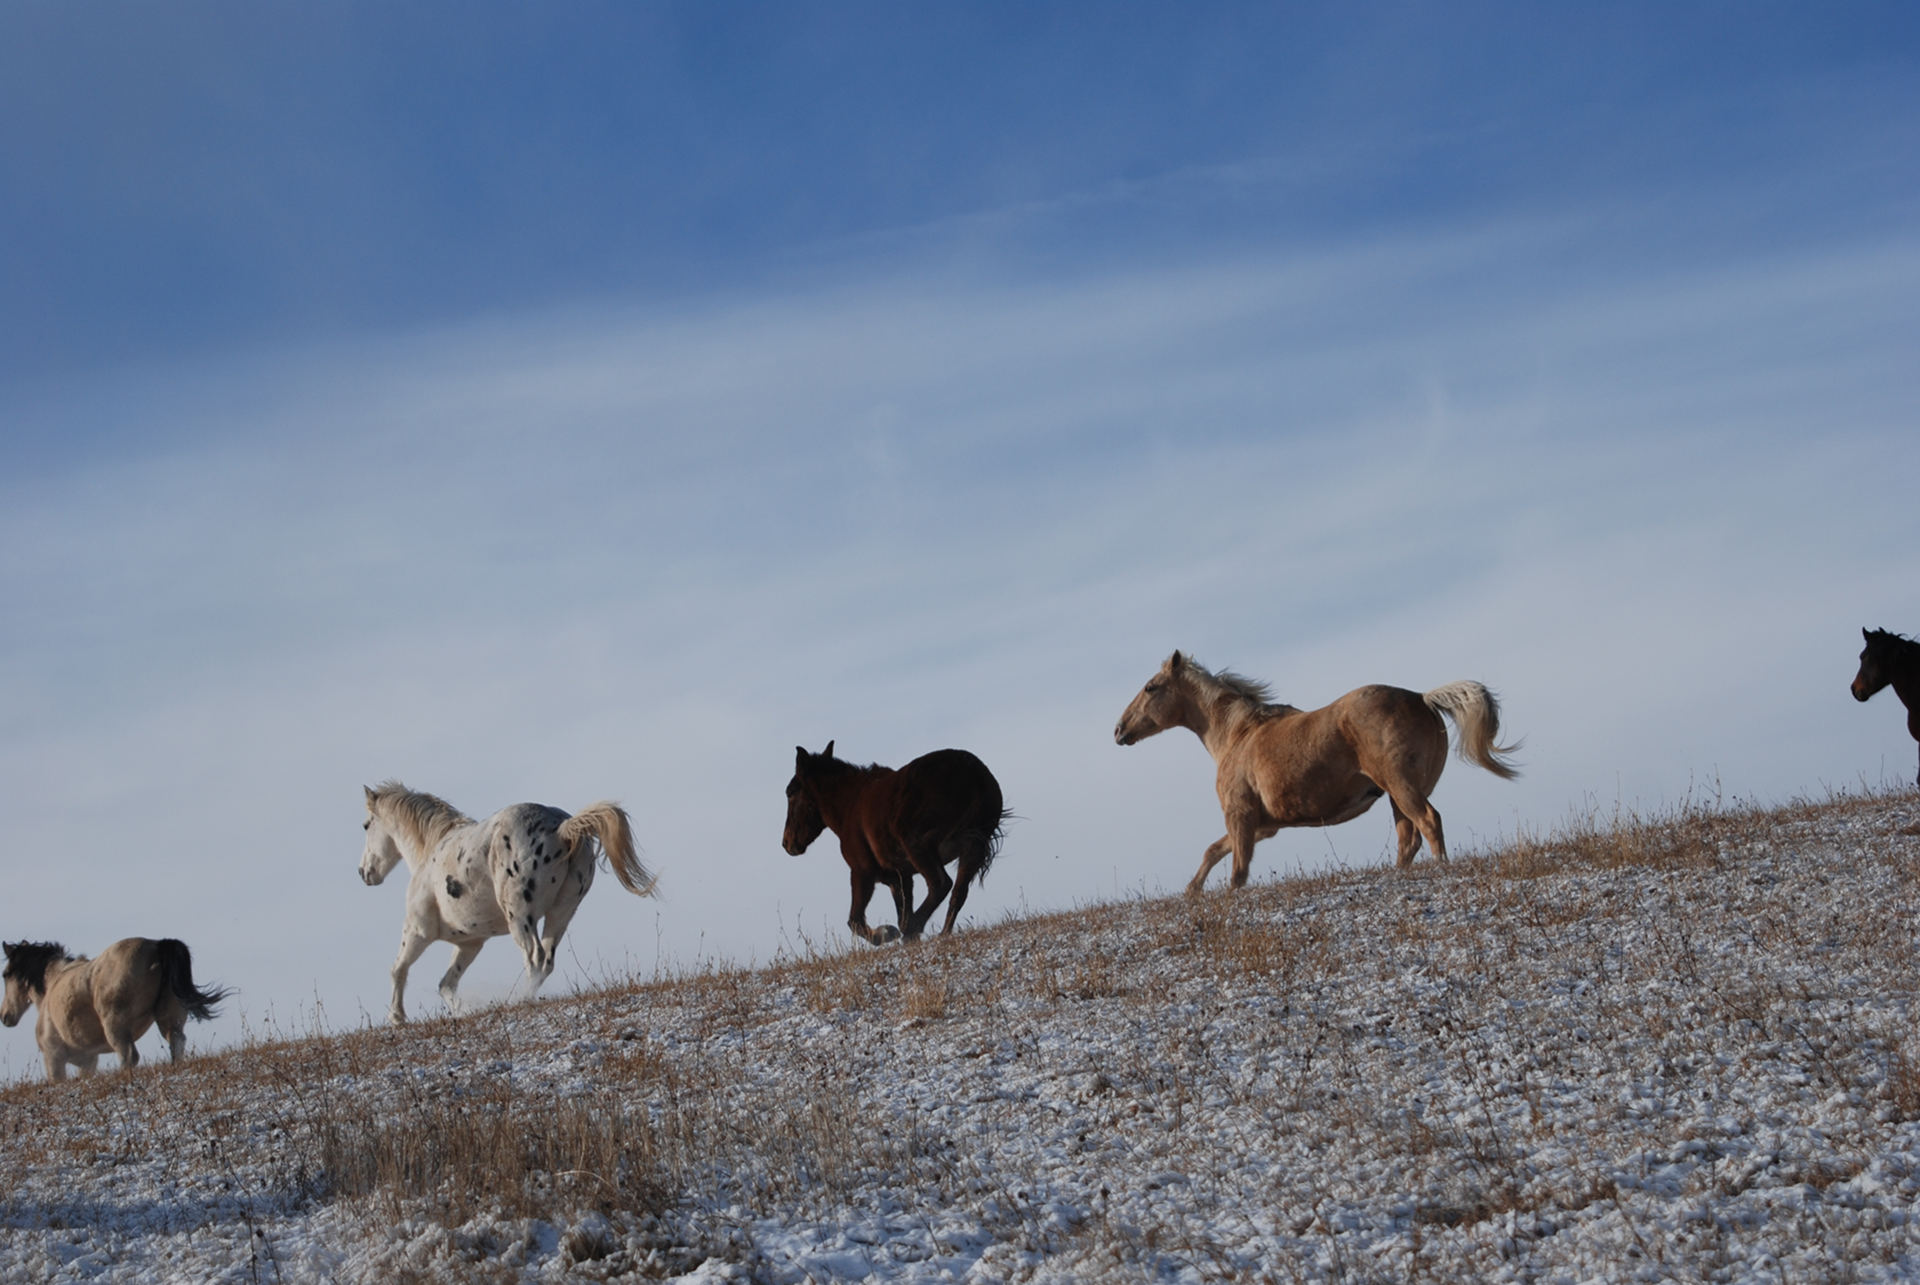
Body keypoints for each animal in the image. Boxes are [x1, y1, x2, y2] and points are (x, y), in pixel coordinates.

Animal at [2, 938, 229, 1080]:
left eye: (5, 974)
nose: (5, 1016)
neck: (53, 984)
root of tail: (156, 945)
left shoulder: (54, 1057)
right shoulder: (88, 1061)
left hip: (116, 1027)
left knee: (128, 1056)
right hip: (170, 1018)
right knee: (177, 1043)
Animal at [358, 782, 657, 1023]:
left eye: (366, 826)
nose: (364, 873)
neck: (431, 853)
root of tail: (562, 830)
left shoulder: (417, 931)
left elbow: (398, 969)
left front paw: (397, 1018)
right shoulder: (470, 943)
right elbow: (447, 984)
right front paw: (461, 1012)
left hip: (520, 916)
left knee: (534, 957)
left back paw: (519, 1001)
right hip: (561, 913)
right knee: (546, 960)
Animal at [783, 742, 1009, 943]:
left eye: (790, 793)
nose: (787, 843)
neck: (849, 806)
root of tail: (973, 774)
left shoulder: (862, 871)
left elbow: (855, 920)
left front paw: (887, 933)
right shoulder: (899, 877)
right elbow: (902, 910)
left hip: (918, 844)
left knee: (940, 884)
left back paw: (914, 928)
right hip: (971, 848)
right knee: (958, 892)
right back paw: (941, 933)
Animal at [1115, 651, 1520, 891]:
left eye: (1151, 687)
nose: (1119, 731)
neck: (1238, 735)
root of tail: (1423, 698)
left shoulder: (1241, 815)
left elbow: (1237, 871)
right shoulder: (1264, 826)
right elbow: (1213, 851)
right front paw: (1192, 891)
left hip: (1401, 787)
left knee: (1429, 822)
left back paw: (1441, 868)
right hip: (1397, 794)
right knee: (1409, 838)